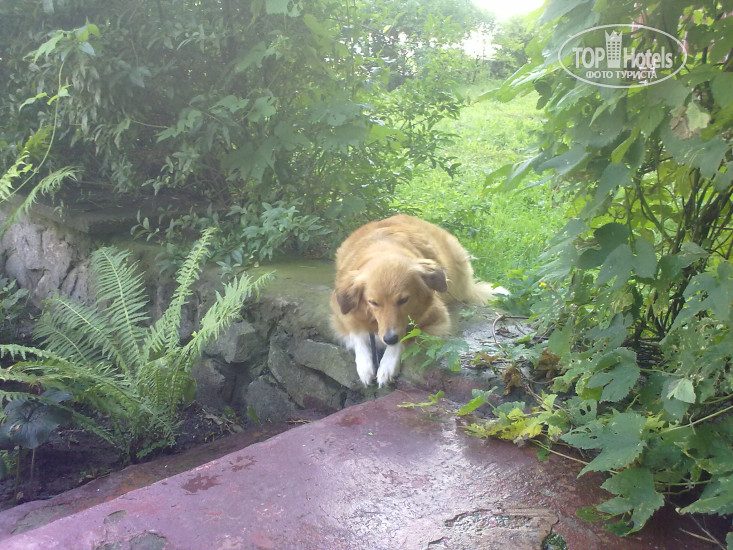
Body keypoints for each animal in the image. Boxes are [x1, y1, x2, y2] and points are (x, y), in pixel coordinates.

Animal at [331, 214, 506, 387]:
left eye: (403, 300)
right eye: (373, 303)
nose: (389, 339)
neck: (382, 250)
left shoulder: (436, 319)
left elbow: (407, 335)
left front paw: (387, 366)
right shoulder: (341, 314)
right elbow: (358, 334)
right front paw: (365, 367)